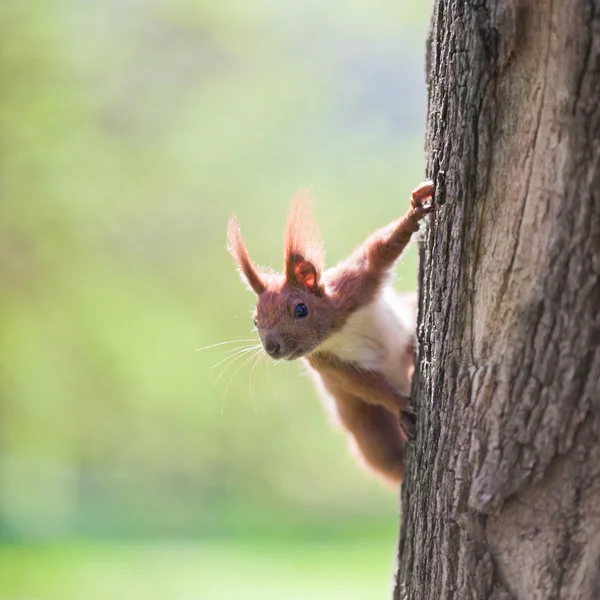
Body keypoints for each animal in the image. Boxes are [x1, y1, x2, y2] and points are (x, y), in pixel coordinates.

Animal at [227, 182, 434, 482]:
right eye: (255, 321)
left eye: (301, 309)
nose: (271, 348)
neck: (336, 330)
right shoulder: (326, 362)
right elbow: (363, 384)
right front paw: (398, 404)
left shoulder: (355, 284)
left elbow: (380, 250)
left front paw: (415, 210)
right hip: (366, 424)